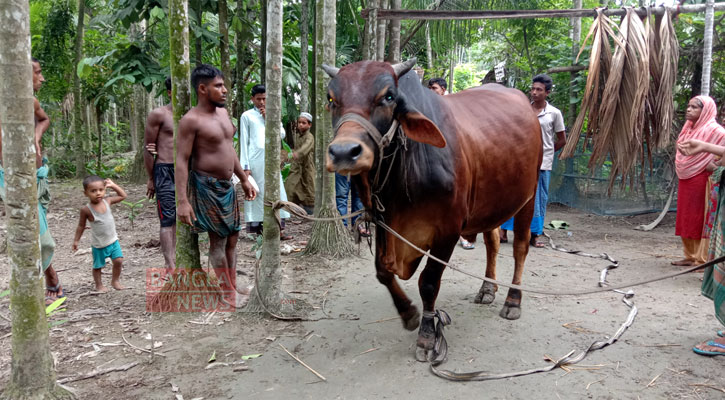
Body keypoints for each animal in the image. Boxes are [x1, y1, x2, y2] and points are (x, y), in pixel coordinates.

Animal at [324, 59, 544, 350]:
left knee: (520, 247)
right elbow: (383, 271)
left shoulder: (447, 231)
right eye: (331, 99)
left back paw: (513, 300)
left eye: (389, 97)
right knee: (493, 242)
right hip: (491, 201)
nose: (343, 152)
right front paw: (408, 313)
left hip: (529, 197)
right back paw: (487, 288)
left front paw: (428, 332)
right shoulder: (384, 222)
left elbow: (428, 282)